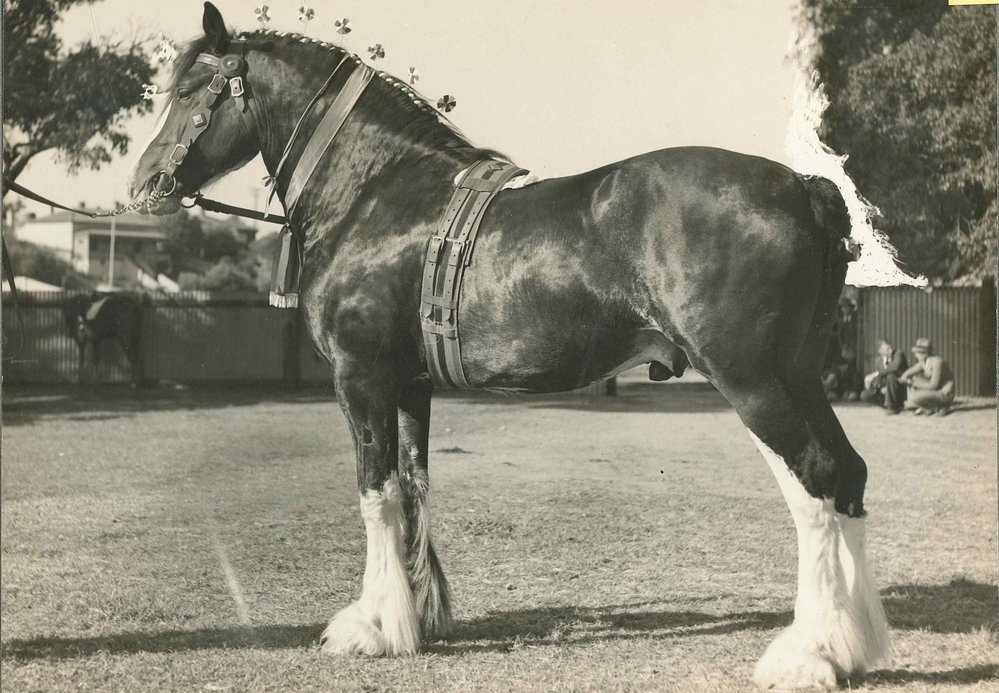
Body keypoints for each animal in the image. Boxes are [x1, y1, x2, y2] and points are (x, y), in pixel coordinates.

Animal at [127, 4, 889, 688]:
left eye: (192, 91)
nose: (143, 184)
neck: (378, 194)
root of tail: (801, 186)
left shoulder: (360, 378)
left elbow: (375, 491)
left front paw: (371, 626)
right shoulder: (410, 385)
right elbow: (414, 485)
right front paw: (422, 614)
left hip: (750, 380)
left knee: (815, 483)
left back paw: (808, 655)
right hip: (801, 376)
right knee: (849, 476)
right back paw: (856, 644)